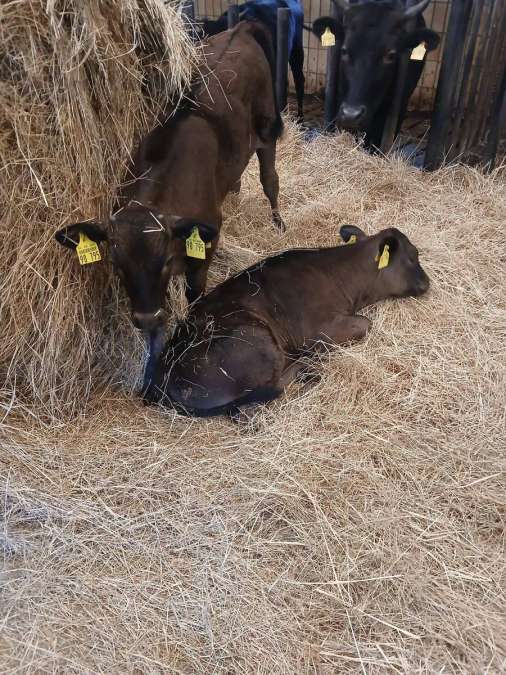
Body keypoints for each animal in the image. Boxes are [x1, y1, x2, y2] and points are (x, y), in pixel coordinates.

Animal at [53, 22, 284, 384]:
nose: (147, 318)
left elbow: (194, 295)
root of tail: (239, 28)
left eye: (163, 263)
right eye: (117, 264)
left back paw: (278, 221)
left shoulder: (206, 245)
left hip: (267, 128)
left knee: (269, 178)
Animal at [144, 224, 430, 417]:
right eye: (413, 256)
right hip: (258, 342)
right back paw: (306, 368)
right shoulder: (319, 331)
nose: (427, 283)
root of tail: (160, 378)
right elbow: (365, 324)